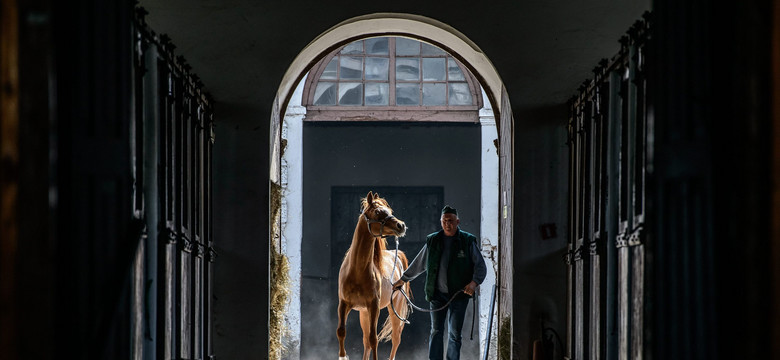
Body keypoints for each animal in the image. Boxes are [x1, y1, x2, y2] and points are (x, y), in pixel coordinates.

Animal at [338, 191, 418, 360]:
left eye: (390, 211)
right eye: (377, 212)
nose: (401, 225)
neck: (357, 271)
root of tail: (396, 254)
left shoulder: (374, 307)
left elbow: (374, 338)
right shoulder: (344, 304)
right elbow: (341, 331)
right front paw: (343, 356)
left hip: (394, 309)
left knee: (395, 339)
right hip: (364, 313)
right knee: (366, 341)